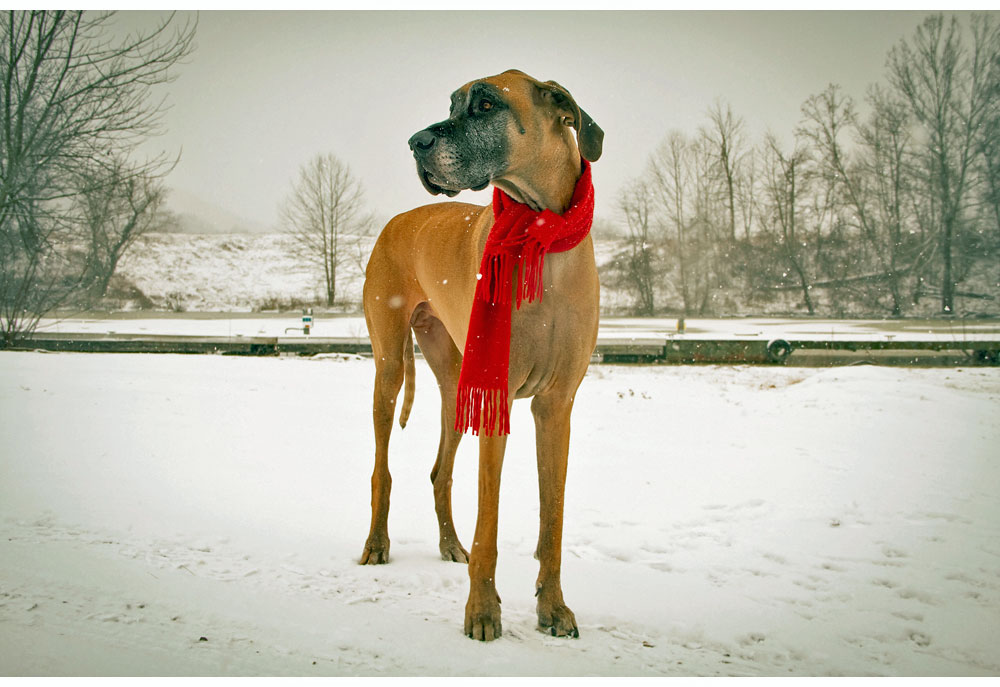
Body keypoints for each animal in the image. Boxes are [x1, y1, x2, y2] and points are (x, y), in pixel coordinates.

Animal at [364, 68, 604, 640]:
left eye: (487, 104)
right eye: (452, 103)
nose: (415, 142)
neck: (542, 240)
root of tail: (394, 220)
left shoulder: (556, 407)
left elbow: (552, 517)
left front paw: (553, 607)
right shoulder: (498, 397)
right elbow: (489, 522)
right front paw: (482, 611)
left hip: (456, 382)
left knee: (440, 472)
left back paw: (451, 544)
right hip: (390, 368)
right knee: (382, 469)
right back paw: (377, 544)